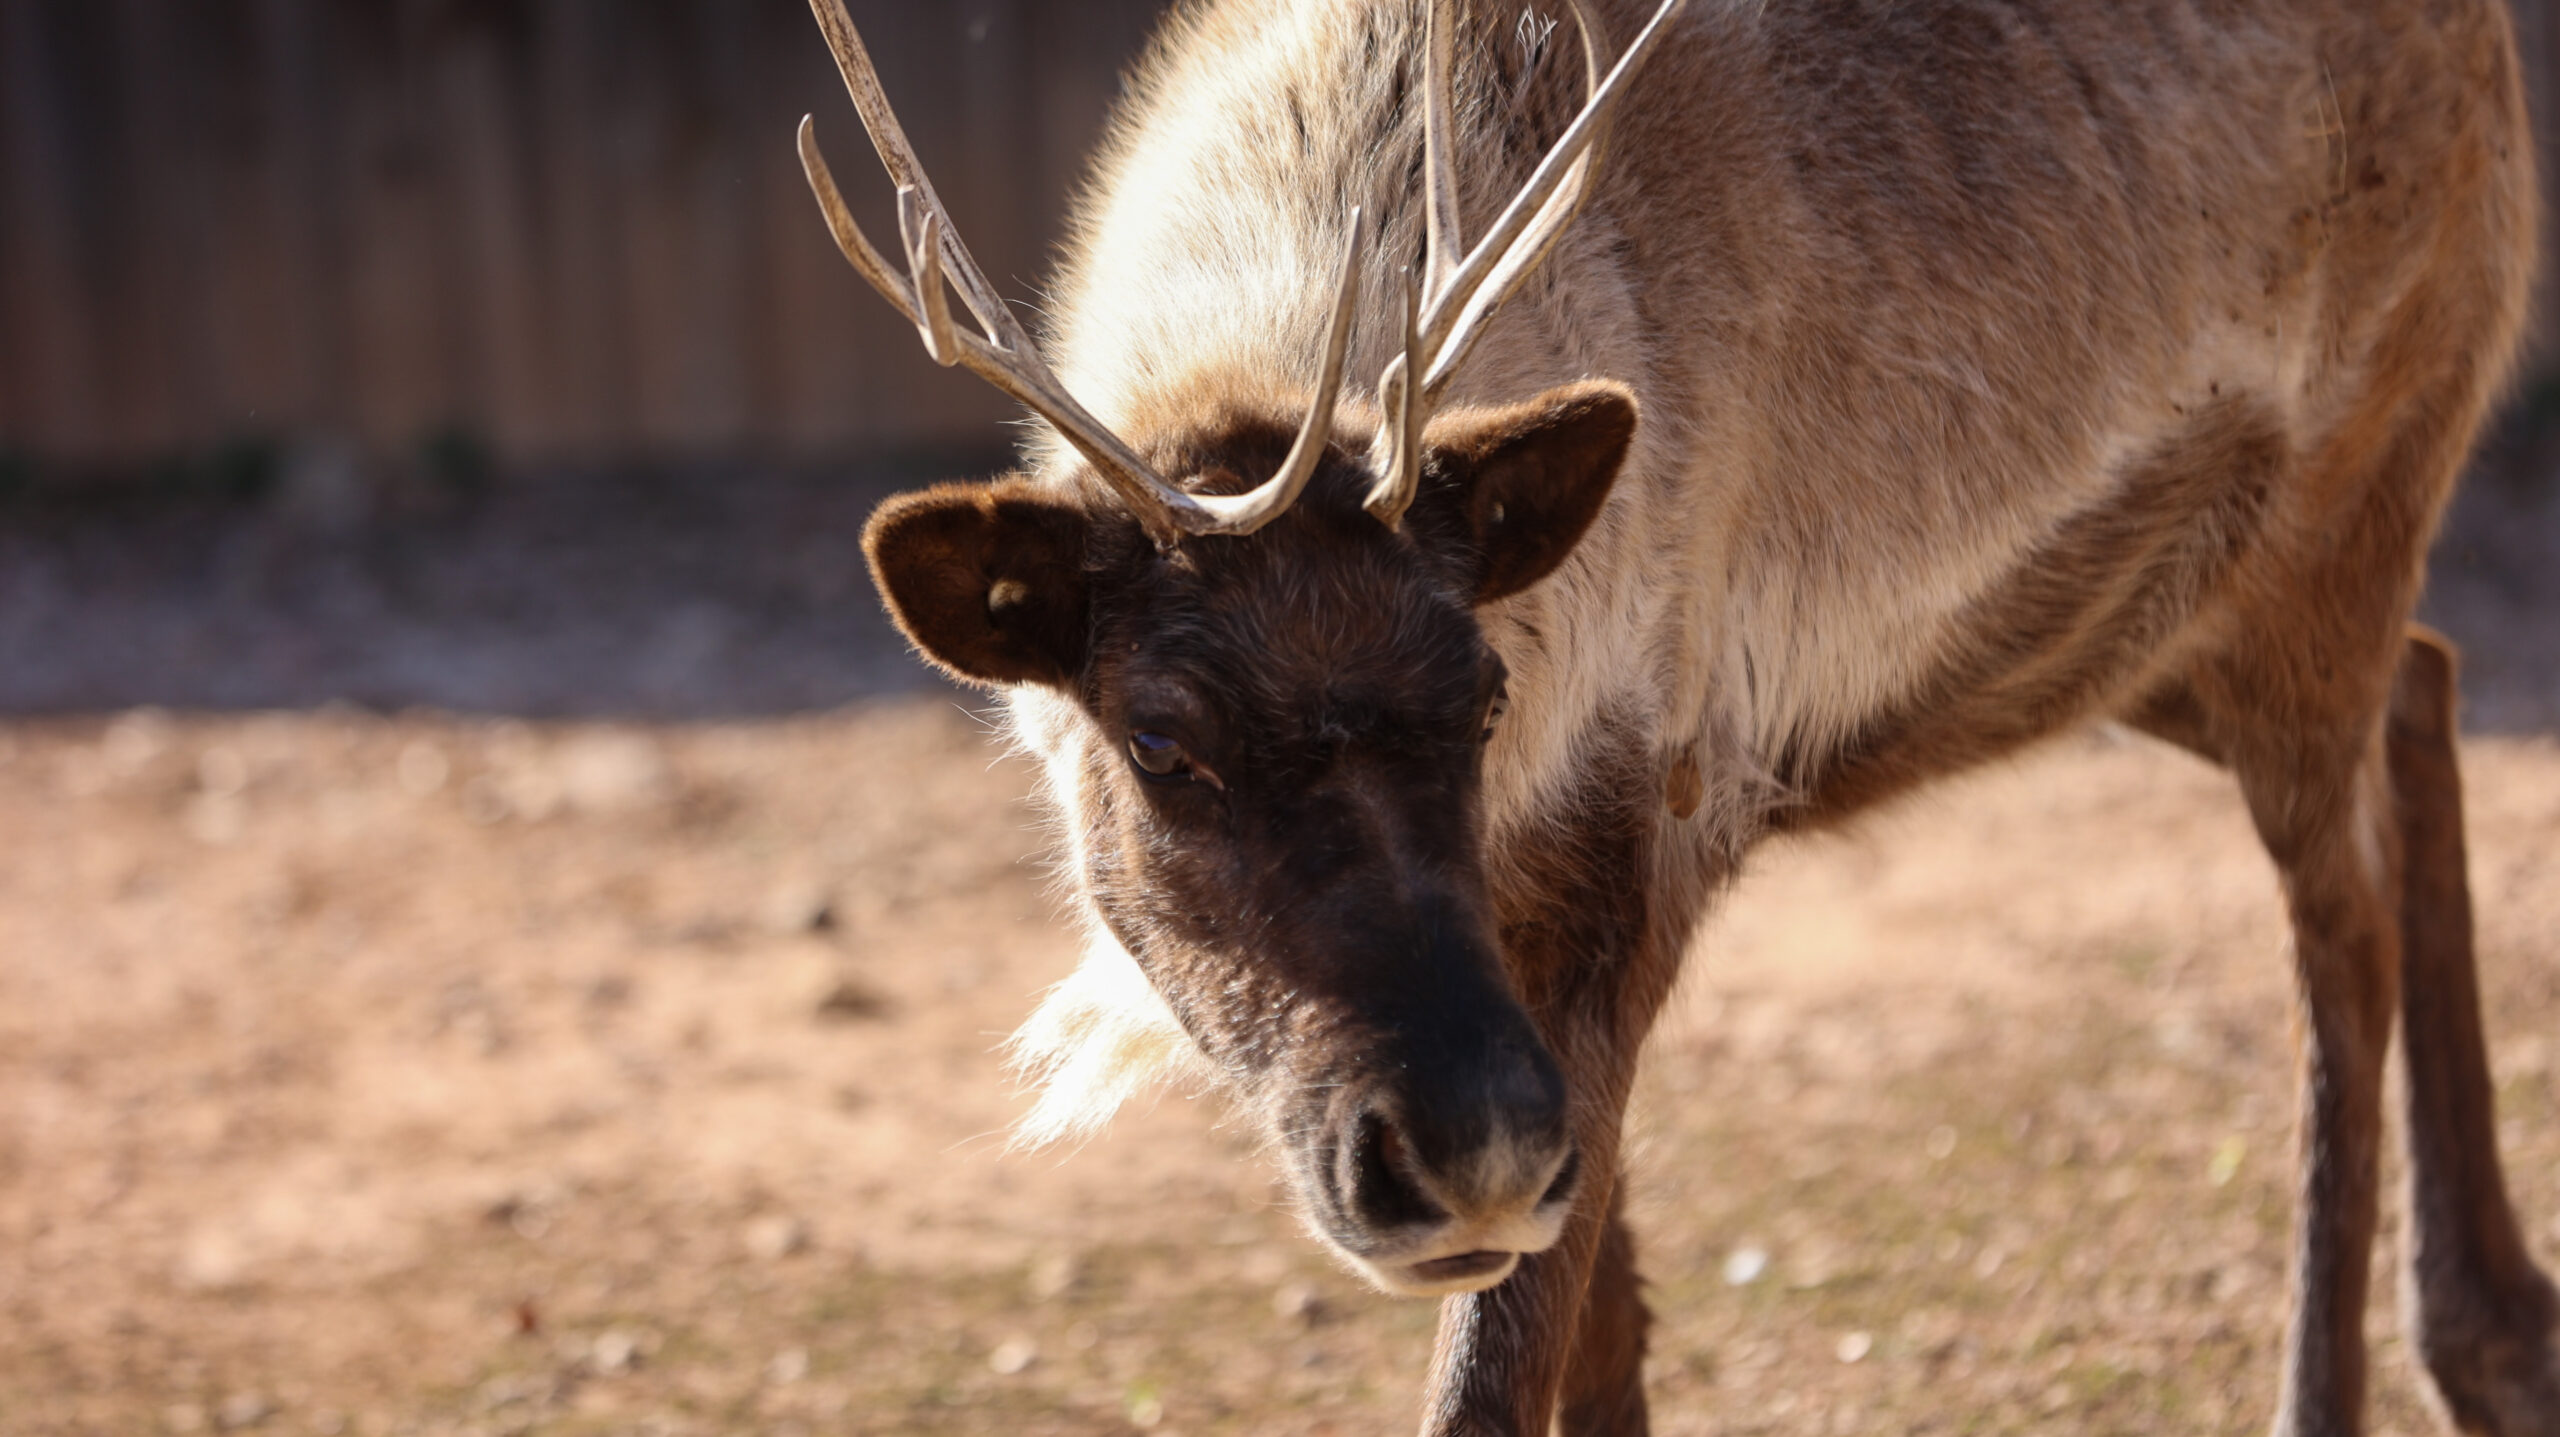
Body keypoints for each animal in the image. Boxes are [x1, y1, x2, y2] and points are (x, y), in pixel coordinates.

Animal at [795, 0, 2557, 1431]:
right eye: (1159, 741)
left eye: (1483, 694)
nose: (1463, 1153)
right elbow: (1606, 1334)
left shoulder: (1644, 835)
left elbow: (1506, 1376)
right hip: (2153, 637)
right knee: (2431, 685)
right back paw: (2495, 1336)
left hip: (2334, 525)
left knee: (2344, 932)